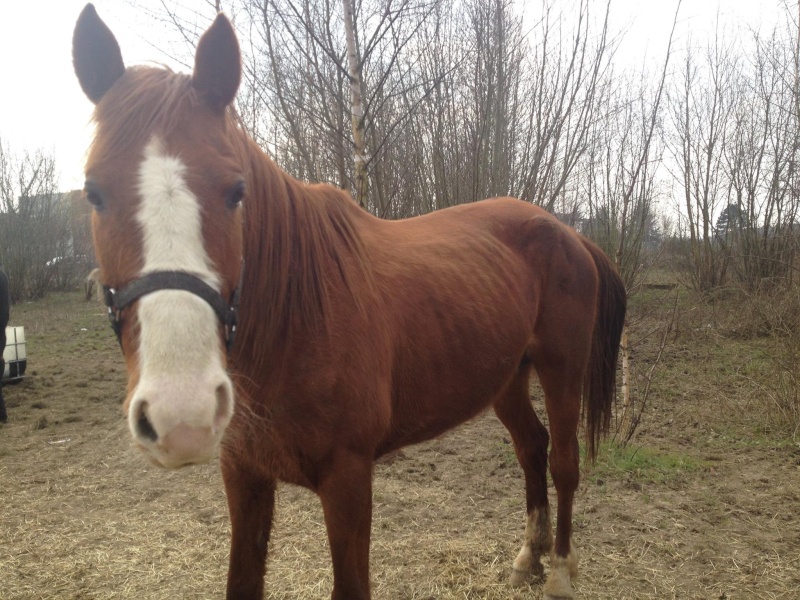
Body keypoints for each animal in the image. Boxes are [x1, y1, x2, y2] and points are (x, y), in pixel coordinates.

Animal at [73, 4, 624, 600]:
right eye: (93, 192)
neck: (293, 320)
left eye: (236, 191)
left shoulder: (348, 480)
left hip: (561, 367)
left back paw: (562, 569)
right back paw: (529, 556)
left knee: (564, 461)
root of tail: (568, 232)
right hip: (506, 376)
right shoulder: (243, 474)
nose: (182, 414)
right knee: (532, 447)